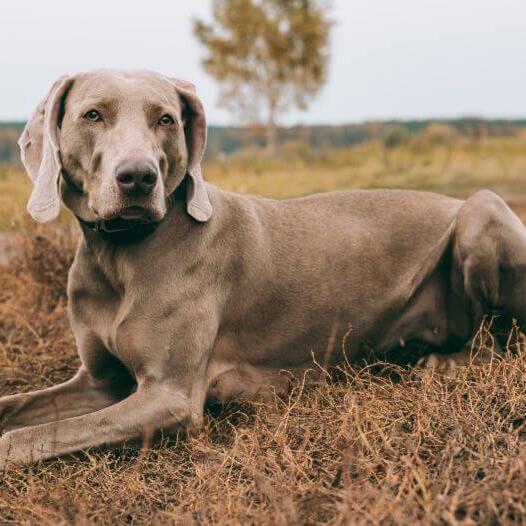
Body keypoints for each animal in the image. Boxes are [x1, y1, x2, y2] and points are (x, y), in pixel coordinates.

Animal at [1, 69, 526, 466]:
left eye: (165, 119)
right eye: (92, 114)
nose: (137, 177)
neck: (120, 257)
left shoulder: (168, 397)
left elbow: (23, 439)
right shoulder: (98, 383)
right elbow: (16, 410)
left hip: (481, 209)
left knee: (500, 341)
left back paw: (443, 363)